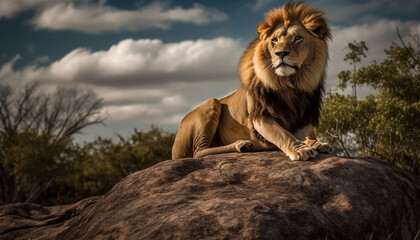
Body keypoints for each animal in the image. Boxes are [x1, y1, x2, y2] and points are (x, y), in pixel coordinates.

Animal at [171, 1, 332, 160]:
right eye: (274, 40)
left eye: (297, 38)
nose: (280, 53)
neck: (290, 82)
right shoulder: (260, 116)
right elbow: (283, 134)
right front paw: (301, 149)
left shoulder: (303, 113)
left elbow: (309, 134)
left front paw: (318, 144)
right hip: (212, 103)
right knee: (199, 151)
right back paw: (241, 144)